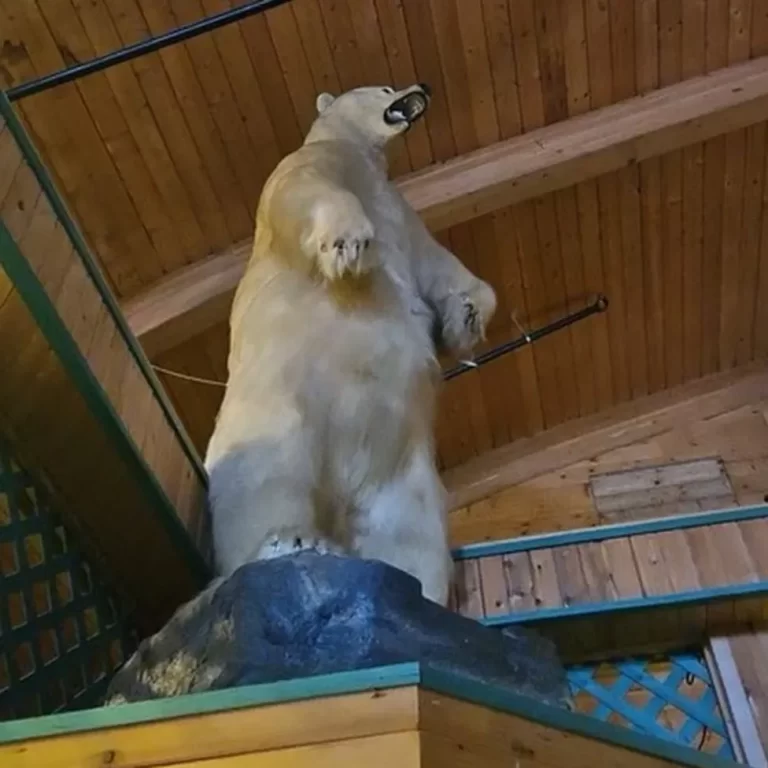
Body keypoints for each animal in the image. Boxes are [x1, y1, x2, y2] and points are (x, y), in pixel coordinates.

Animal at [204, 83, 496, 606]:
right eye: (384, 87)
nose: (419, 88)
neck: (361, 155)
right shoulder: (308, 164)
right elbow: (305, 192)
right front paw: (349, 242)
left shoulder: (402, 213)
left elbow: (437, 264)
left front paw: (468, 315)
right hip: (276, 410)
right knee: (263, 481)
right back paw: (285, 543)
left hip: (400, 470)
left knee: (410, 532)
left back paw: (415, 591)